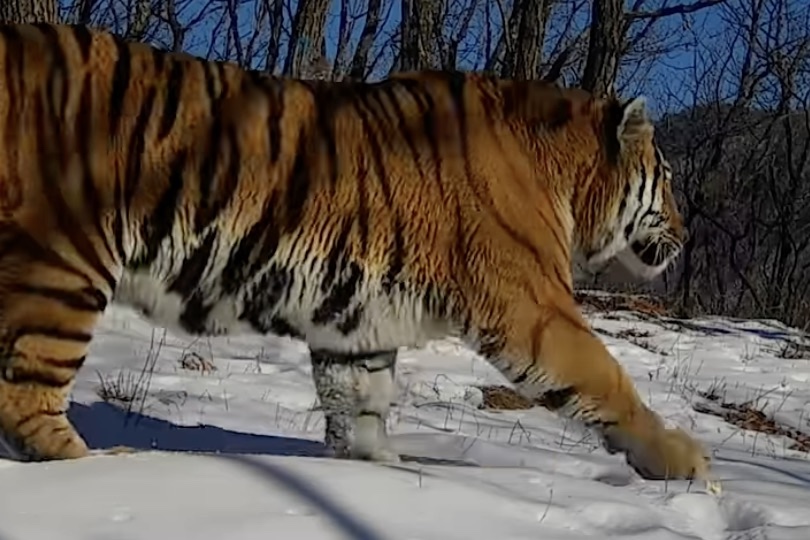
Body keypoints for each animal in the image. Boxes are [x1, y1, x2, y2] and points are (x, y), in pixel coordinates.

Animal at [0, 22, 715, 487]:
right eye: (667, 177)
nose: (687, 234)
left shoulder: (357, 319)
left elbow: (360, 403)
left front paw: (380, 476)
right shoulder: (533, 305)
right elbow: (607, 379)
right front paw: (684, 463)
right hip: (64, 262)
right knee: (27, 397)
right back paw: (100, 472)